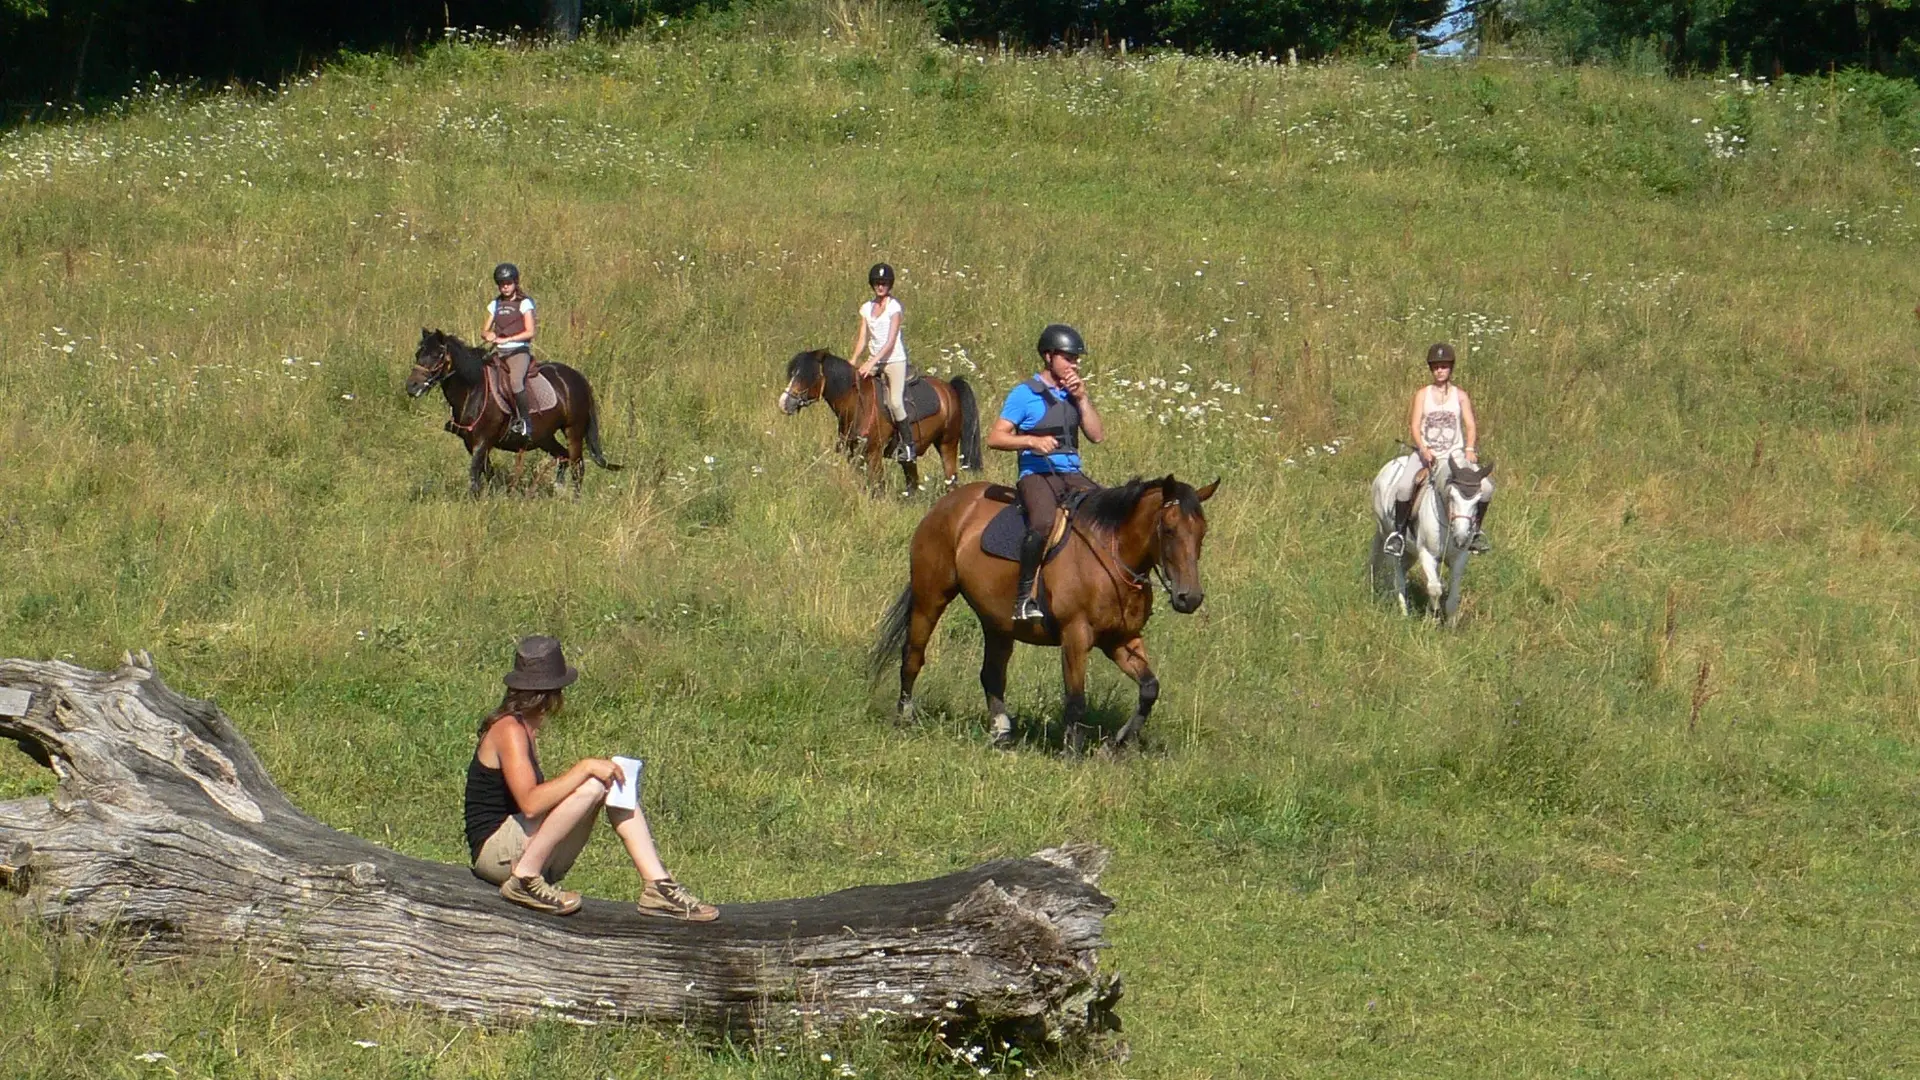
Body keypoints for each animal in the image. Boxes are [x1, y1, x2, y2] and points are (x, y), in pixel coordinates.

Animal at [405, 328, 622, 495]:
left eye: (437, 355)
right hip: (545, 437)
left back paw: (574, 501)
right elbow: (487, 472)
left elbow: (475, 475)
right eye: (418, 354)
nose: (411, 387)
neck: (474, 389)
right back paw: (558, 489)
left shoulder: (482, 441)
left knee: (578, 466)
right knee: (563, 456)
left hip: (573, 431)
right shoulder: (471, 443)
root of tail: (579, 378)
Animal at [775, 349, 983, 491]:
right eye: (793, 374)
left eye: (806, 376)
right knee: (912, 483)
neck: (859, 404)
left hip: (947, 444)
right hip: (911, 457)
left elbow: (878, 487)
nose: (784, 403)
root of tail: (949, 388)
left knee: (950, 480)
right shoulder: (854, 455)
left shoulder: (873, 454)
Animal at [871, 474, 1213, 753]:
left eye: (1202, 533)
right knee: (913, 656)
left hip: (997, 622)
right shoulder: (1075, 636)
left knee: (992, 673)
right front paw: (1072, 753)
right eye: (1168, 529)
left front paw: (1117, 743)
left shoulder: (1121, 639)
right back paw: (905, 718)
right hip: (930, 598)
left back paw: (1002, 733)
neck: (1112, 556)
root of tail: (948, 503)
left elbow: (1149, 688)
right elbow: (1075, 699)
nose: (1189, 598)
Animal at [1374, 451, 1489, 622]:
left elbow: (1453, 596)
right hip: (1389, 539)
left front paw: (1450, 624)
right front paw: (1433, 618)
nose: (1461, 538)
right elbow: (1435, 588)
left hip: (1410, 552)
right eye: (1452, 496)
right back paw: (1404, 613)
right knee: (1398, 578)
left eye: (1478, 501)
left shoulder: (1459, 557)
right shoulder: (1427, 554)